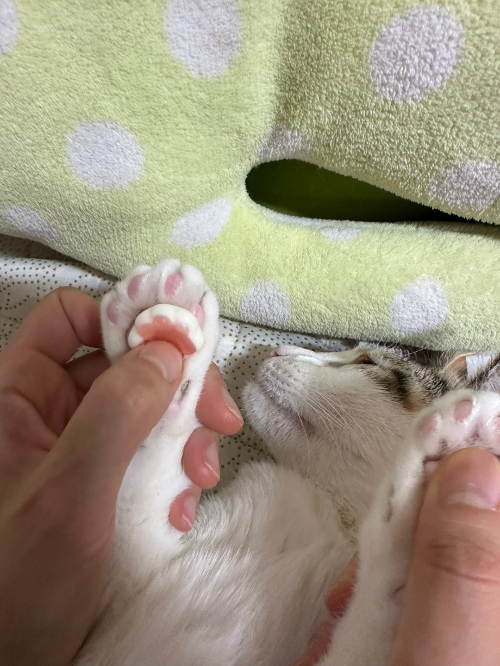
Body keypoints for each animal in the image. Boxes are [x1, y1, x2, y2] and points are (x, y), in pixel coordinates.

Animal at [73, 260, 500, 666]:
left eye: (367, 362)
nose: (277, 350)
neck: (333, 515)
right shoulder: (119, 587)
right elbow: (129, 497)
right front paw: (160, 347)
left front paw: (418, 513)